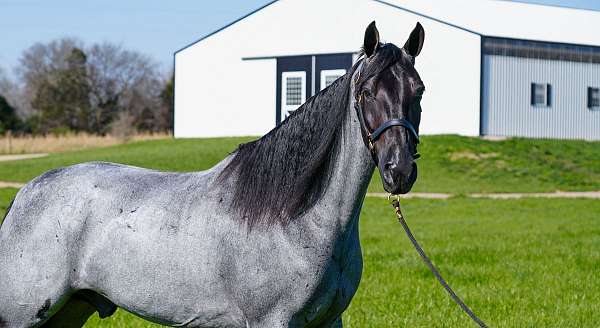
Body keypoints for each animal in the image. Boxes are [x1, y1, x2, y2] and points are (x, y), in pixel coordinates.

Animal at [0, 21, 424, 326]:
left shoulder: (328, 322)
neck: (296, 216)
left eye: (418, 90)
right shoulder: (272, 322)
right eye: (366, 92)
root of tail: (26, 193)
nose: (399, 169)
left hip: (70, 311)